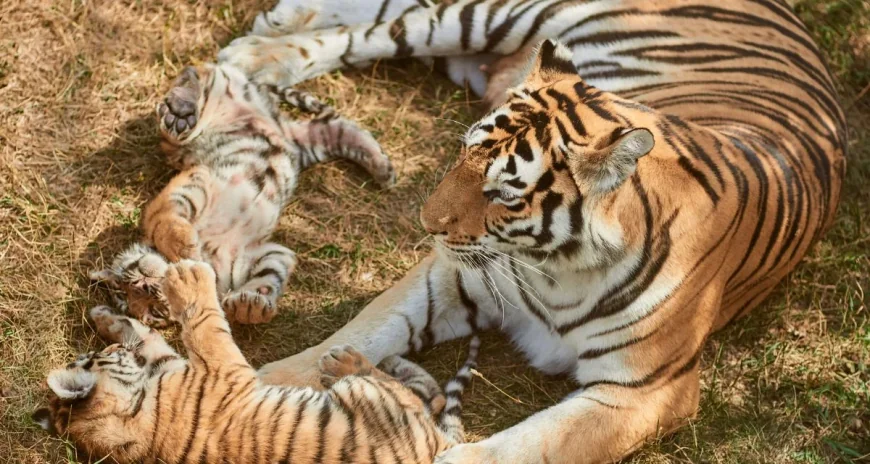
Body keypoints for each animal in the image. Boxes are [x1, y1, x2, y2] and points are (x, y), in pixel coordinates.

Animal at [34, 261, 479, 464]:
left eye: (92, 355)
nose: (104, 351)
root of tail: (441, 447)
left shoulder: (173, 365)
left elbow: (149, 337)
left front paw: (107, 318)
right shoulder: (221, 370)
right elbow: (206, 323)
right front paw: (190, 276)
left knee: (433, 396)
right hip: (372, 402)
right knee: (413, 395)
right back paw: (348, 361)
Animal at [90, 63, 395, 326]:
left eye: (130, 278)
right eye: (152, 312)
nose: (147, 288)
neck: (209, 254)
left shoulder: (198, 180)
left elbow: (160, 220)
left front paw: (184, 247)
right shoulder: (267, 253)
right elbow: (270, 276)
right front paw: (249, 306)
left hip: (215, 97)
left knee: (196, 75)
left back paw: (179, 109)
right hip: (310, 143)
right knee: (340, 129)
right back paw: (384, 169)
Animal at [211, 0, 848, 462]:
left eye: (502, 192)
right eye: (463, 153)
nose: (426, 224)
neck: (559, 267)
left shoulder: (645, 390)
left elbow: (530, 445)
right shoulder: (451, 276)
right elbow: (364, 329)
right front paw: (268, 385)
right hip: (504, 16)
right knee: (381, 30)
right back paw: (258, 55)